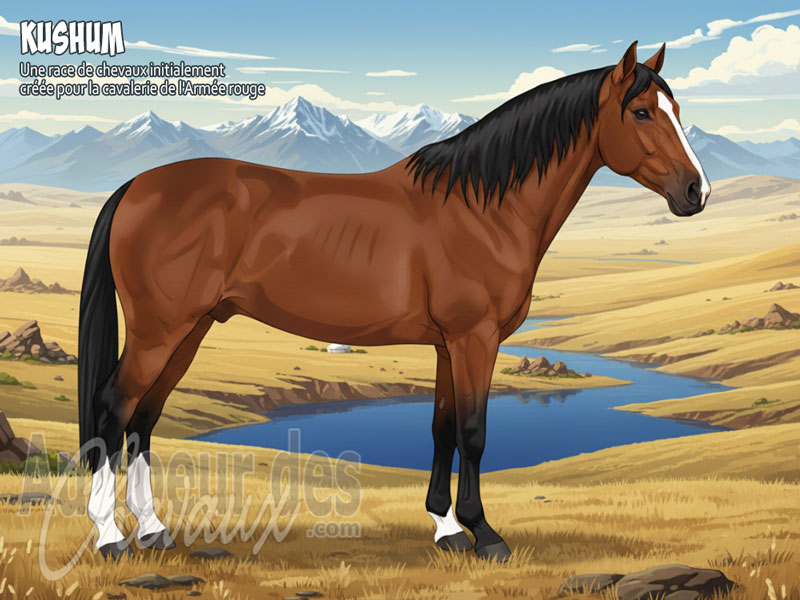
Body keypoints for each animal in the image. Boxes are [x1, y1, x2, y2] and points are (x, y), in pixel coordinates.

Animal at [78, 41, 710, 561]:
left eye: (677, 110)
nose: (696, 192)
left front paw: (447, 529)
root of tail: (135, 187)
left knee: (144, 418)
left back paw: (155, 530)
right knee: (115, 407)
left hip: (190, 329)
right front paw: (486, 535)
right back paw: (111, 538)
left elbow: (442, 428)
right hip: (160, 330)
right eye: (641, 112)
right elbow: (474, 432)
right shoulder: (474, 339)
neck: (483, 207)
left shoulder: (447, 345)